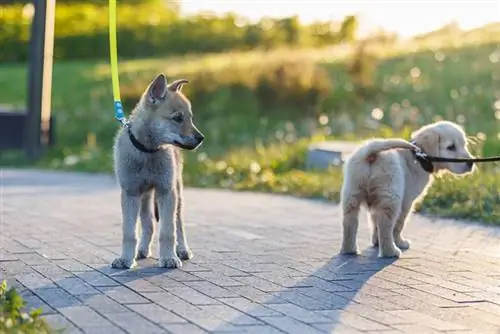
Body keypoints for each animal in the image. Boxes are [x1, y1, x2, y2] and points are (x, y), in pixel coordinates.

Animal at [111, 72, 203, 268]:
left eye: (190, 118)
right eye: (178, 118)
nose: (201, 138)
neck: (147, 152)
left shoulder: (166, 192)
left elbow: (168, 232)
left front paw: (169, 258)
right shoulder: (130, 193)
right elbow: (129, 233)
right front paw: (125, 259)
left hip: (177, 193)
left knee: (179, 224)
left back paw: (183, 250)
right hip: (144, 196)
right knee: (149, 224)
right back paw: (141, 250)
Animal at [340, 120, 472, 258]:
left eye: (464, 145)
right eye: (451, 147)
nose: (471, 163)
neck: (419, 158)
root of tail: (371, 153)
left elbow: (375, 223)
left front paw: (376, 242)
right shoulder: (407, 201)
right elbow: (399, 224)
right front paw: (399, 242)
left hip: (352, 194)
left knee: (349, 223)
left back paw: (349, 250)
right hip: (391, 196)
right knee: (385, 225)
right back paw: (390, 251)